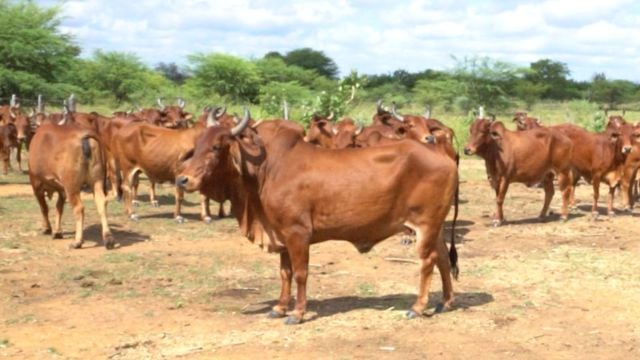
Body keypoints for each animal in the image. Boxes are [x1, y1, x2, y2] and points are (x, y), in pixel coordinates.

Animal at [176, 108, 460, 324]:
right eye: (196, 145)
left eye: (216, 147)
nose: (182, 179)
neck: (267, 168)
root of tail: (444, 157)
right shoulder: (281, 234)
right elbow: (285, 273)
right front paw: (279, 308)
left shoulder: (297, 233)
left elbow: (301, 273)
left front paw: (297, 313)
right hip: (435, 226)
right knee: (443, 259)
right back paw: (446, 302)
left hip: (425, 224)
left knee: (427, 261)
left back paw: (417, 307)